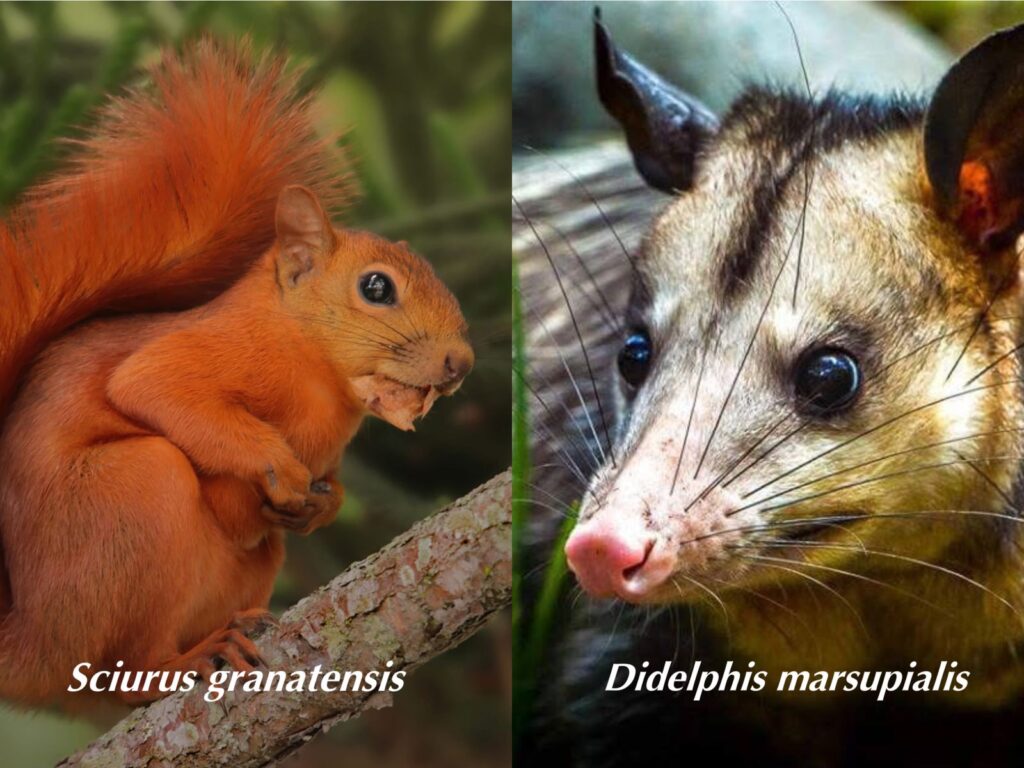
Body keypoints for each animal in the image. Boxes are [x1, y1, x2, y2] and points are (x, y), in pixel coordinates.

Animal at [0, 41, 472, 708]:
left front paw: (322, 505)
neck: (317, 375)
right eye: (376, 287)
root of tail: (30, 646)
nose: (462, 363)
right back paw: (189, 658)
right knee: (126, 672)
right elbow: (151, 388)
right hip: (133, 495)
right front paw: (282, 471)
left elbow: (328, 486)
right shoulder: (202, 353)